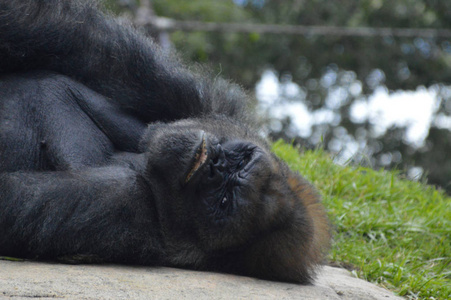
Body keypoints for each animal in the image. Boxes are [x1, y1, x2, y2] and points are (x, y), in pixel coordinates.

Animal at [0, 0, 332, 282]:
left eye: (223, 201)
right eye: (240, 158)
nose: (214, 164)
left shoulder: (122, 202)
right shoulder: (199, 104)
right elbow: (69, 37)